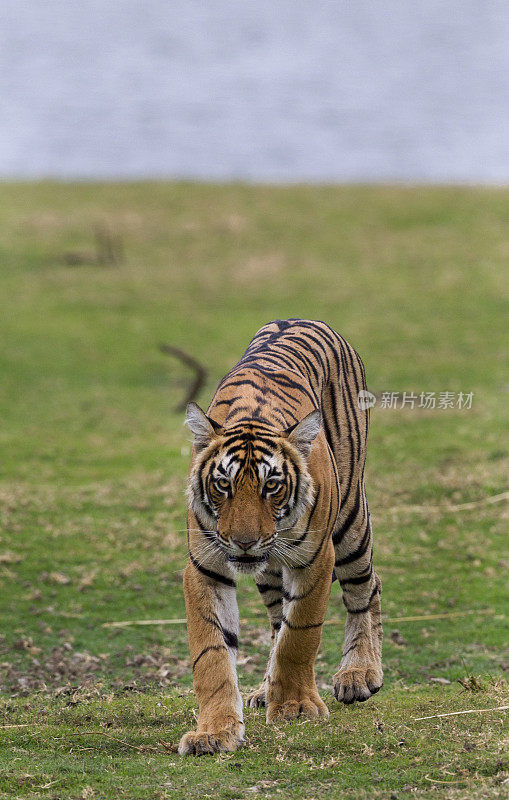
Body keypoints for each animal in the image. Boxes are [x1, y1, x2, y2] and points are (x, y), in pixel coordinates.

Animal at [179, 318, 380, 756]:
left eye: (271, 486)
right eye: (223, 484)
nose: (244, 542)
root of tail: (306, 318)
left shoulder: (316, 559)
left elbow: (298, 635)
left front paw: (295, 707)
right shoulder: (206, 567)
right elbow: (212, 654)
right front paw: (214, 732)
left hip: (350, 520)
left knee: (365, 588)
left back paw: (360, 673)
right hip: (267, 572)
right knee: (275, 618)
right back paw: (263, 689)